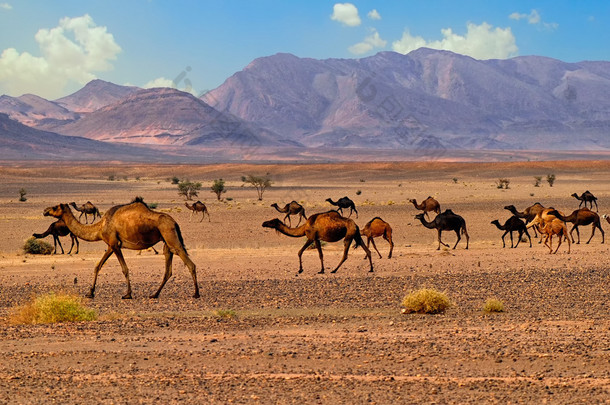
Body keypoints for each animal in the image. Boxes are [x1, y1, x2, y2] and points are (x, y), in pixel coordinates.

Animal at [43, 197, 200, 298]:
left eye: (55, 207)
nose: (45, 210)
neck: (100, 226)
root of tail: (174, 222)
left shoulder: (114, 244)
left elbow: (124, 269)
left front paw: (128, 294)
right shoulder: (110, 245)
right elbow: (97, 266)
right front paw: (90, 293)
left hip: (170, 236)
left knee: (189, 263)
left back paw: (196, 293)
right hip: (166, 242)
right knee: (168, 268)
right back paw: (154, 294)